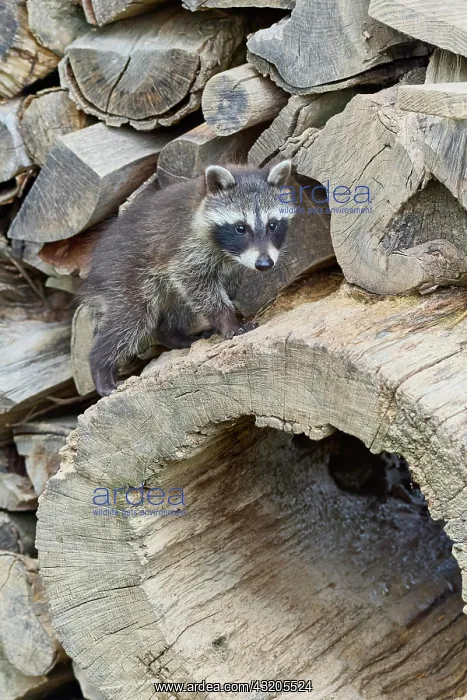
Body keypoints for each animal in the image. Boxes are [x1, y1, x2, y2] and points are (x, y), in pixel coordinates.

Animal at [82, 160, 295, 397]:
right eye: (241, 228)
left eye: (272, 225)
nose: (265, 264)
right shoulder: (187, 248)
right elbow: (198, 285)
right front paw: (228, 320)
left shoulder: (234, 265)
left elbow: (224, 286)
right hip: (125, 278)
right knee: (131, 318)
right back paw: (100, 365)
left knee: (179, 305)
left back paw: (171, 333)